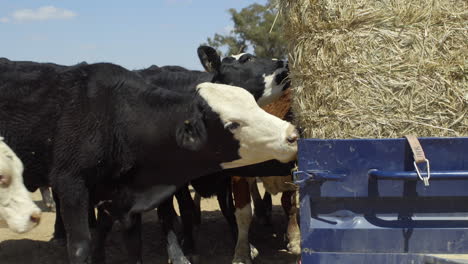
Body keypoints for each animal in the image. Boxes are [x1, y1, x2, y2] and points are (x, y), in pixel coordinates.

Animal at [0, 60, 298, 264]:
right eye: (232, 124)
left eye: (254, 104)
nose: (292, 135)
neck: (114, 116)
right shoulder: (71, 184)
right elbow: (80, 247)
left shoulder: (126, 200)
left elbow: (134, 246)